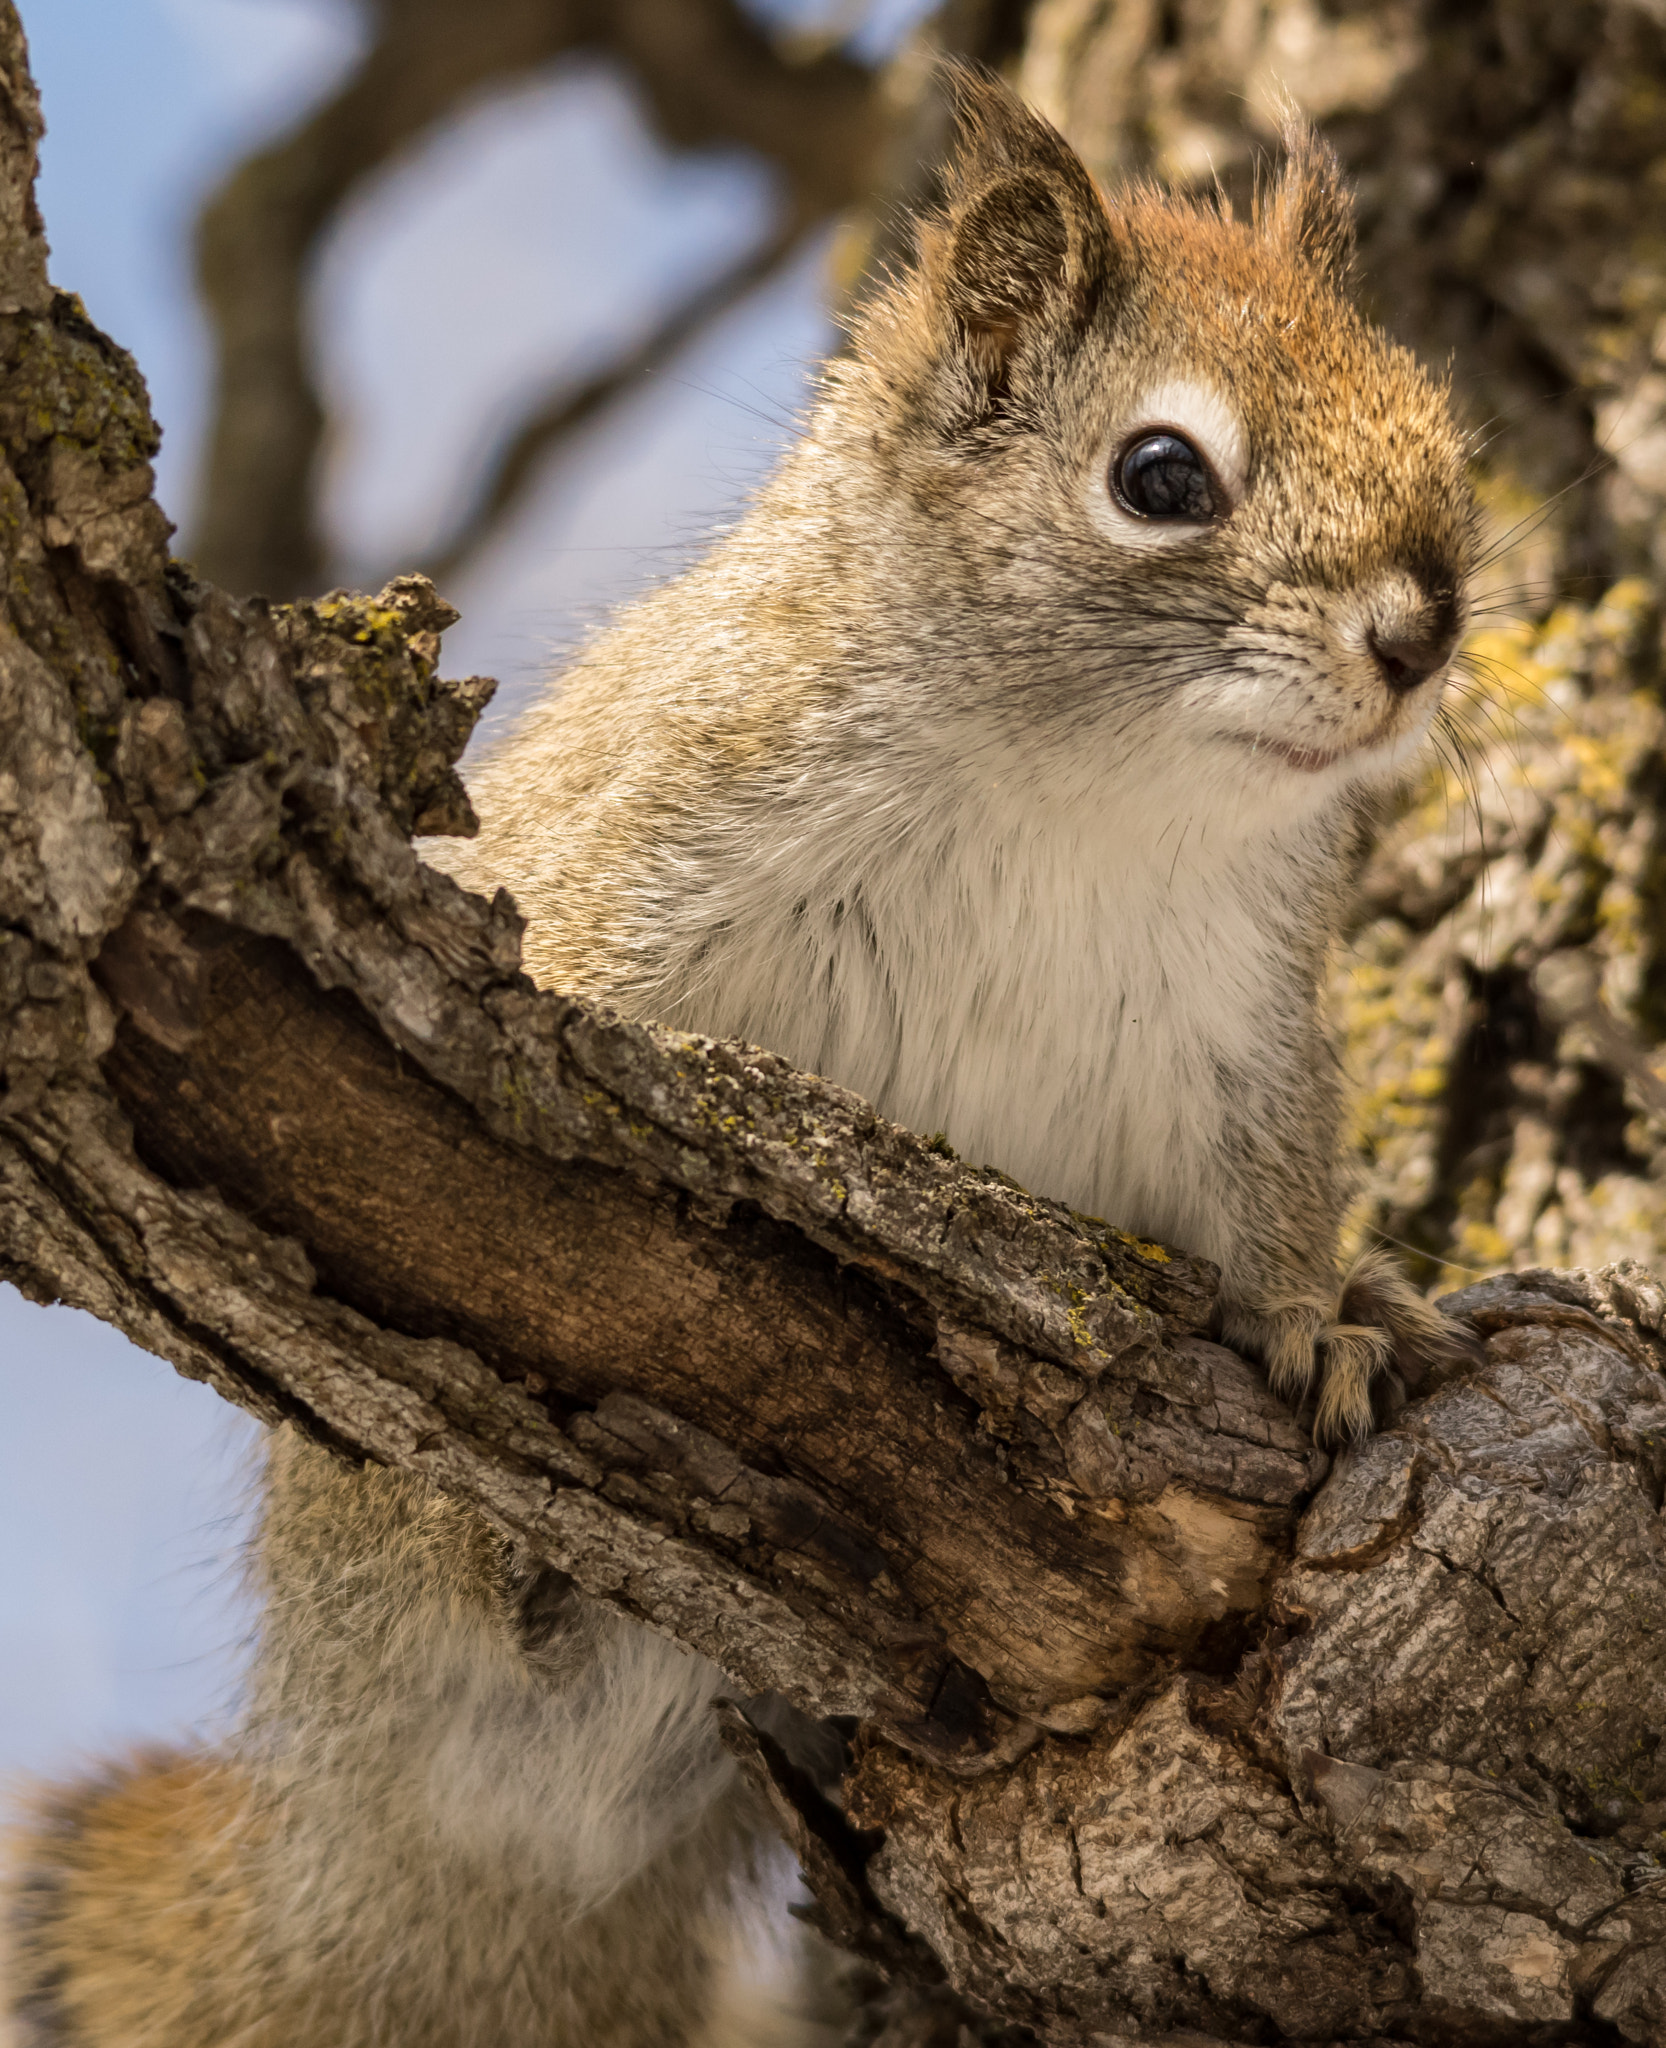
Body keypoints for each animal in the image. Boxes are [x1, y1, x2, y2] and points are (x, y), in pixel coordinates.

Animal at [6, 72, 1475, 2048]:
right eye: (1161, 476)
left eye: (1438, 422)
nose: (1423, 633)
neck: (1086, 788)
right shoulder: (636, 881)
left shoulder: (1248, 1032)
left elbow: (1274, 1198)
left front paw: (1327, 1320)